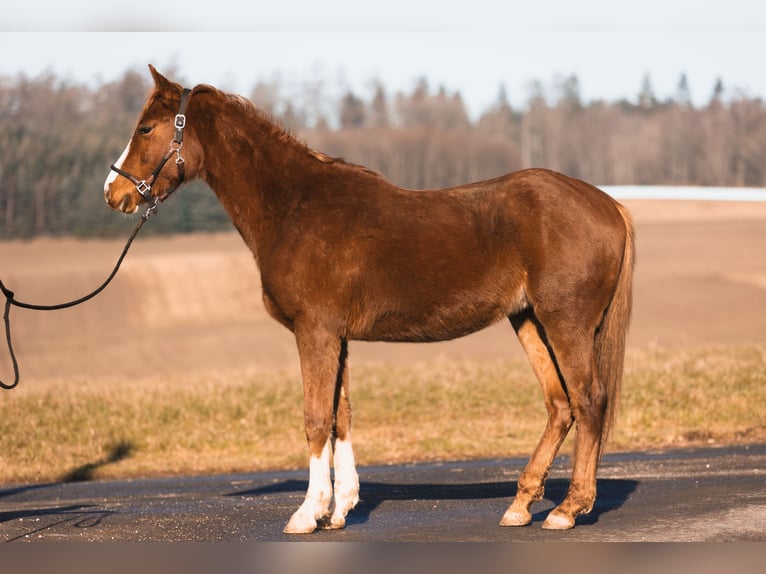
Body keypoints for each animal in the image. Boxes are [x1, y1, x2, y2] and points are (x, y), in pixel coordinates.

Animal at [105, 66, 640, 536]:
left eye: (146, 128)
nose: (113, 193)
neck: (295, 206)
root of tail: (609, 205)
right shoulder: (336, 336)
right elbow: (340, 416)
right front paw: (340, 510)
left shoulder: (315, 331)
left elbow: (315, 417)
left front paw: (307, 514)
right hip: (527, 320)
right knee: (560, 405)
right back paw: (522, 505)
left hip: (565, 323)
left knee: (589, 400)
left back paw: (568, 509)